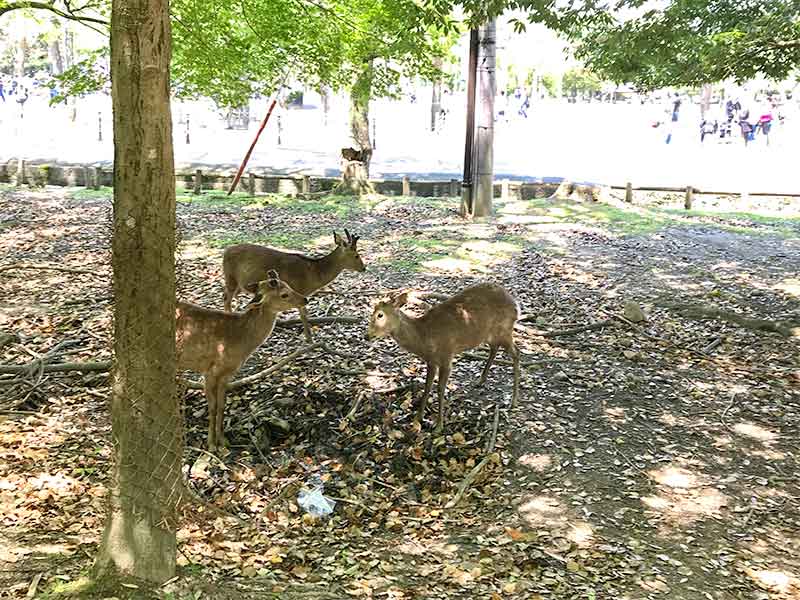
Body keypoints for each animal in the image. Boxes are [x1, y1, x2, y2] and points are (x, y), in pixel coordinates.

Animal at [177, 270, 308, 452]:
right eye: (284, 294)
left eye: (289, 285)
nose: (305, 299)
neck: (240, 341)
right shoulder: (210, 371)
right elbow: (212, 407)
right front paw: (211, 444)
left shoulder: (227, 374)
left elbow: (222, 405)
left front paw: (223, 441)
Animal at [222, 229, 366, 342]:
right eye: (356, 255)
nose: (364, 268)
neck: (314, 275)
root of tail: (225, 251)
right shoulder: (298, 290)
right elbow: (304, 315)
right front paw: (309, 339)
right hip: (230, 277)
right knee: (226, 298)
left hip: (239, 284)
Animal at [368, 282, 520, 432]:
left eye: (380, 315)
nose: (367, 335)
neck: (423, 337)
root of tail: (515, 305)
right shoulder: (431, 360)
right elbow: (427, 386)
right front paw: (418, 417)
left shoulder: (447, 355)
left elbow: (440, 389)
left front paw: (439, 425)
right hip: (489, 334)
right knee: (494, 348)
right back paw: (481, 380)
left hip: (505, 328)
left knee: (516, 353)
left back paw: (513, 401)